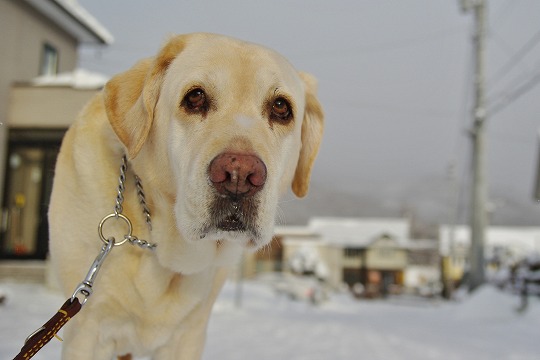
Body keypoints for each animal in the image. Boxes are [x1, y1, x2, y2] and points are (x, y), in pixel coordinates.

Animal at [47, 32, 320, 358]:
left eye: (281, 107)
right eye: (195, 97)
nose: (239, 175)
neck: (157, 243)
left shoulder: (189, 335)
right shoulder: (87, 332)